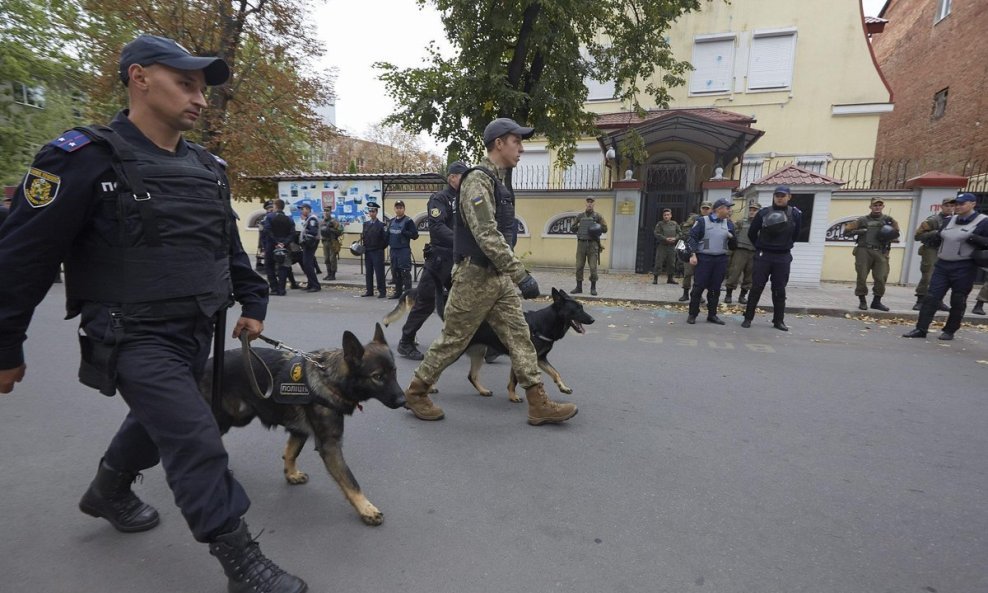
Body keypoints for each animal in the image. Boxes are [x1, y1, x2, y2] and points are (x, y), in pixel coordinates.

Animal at [201, 324, 406, 524]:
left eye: (394, 371)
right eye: (377, 377)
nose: (404, 401)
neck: (330, 379)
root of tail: (207, 365)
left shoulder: (299, 431)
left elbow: (291, 453)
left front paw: (290, 474)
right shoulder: (330, 446)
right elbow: (350, 480)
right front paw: (366, 508)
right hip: (227, 418)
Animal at [382, 288, 592, 402]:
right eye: (577, 309)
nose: (593, 319)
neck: (543, 323)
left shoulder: (539, 359)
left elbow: (555, 373)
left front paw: (563, 387)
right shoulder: (522, 357)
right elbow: (514, 381)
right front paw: (513, 396)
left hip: (478, 353)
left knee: (471, 376)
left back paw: (482, 390)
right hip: (456, 352)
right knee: (431, 367)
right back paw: (424, 387)